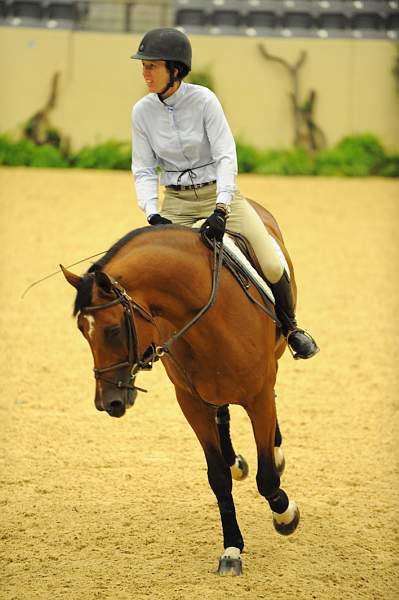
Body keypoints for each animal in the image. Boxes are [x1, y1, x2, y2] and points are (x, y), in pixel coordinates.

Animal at [61, 202, 300, 576]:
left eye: (113, 330)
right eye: (82, 332)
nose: (107, 402)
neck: (208, 315)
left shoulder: (258, 395)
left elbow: (266, 478)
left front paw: (285, 514)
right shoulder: (191, 403)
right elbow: (218, 478)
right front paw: (231, 550)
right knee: (223, 416)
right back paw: (235, 459)